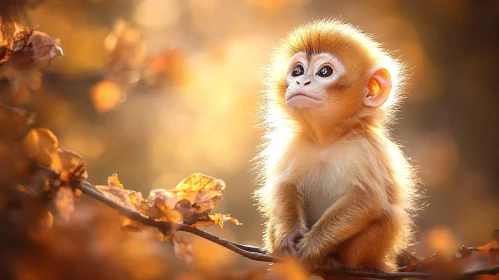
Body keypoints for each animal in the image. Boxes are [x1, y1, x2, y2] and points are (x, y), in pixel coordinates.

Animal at [256, 19, 420, 278]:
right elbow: (284, 184)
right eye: (297, 71)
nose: (301, 81)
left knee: (390, 217)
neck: (326, 142)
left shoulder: (362, 149)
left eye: (325, 72)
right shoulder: (293, 145)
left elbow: (367, 199)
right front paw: (288, 237)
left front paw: (311, 249)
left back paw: (335, 263)